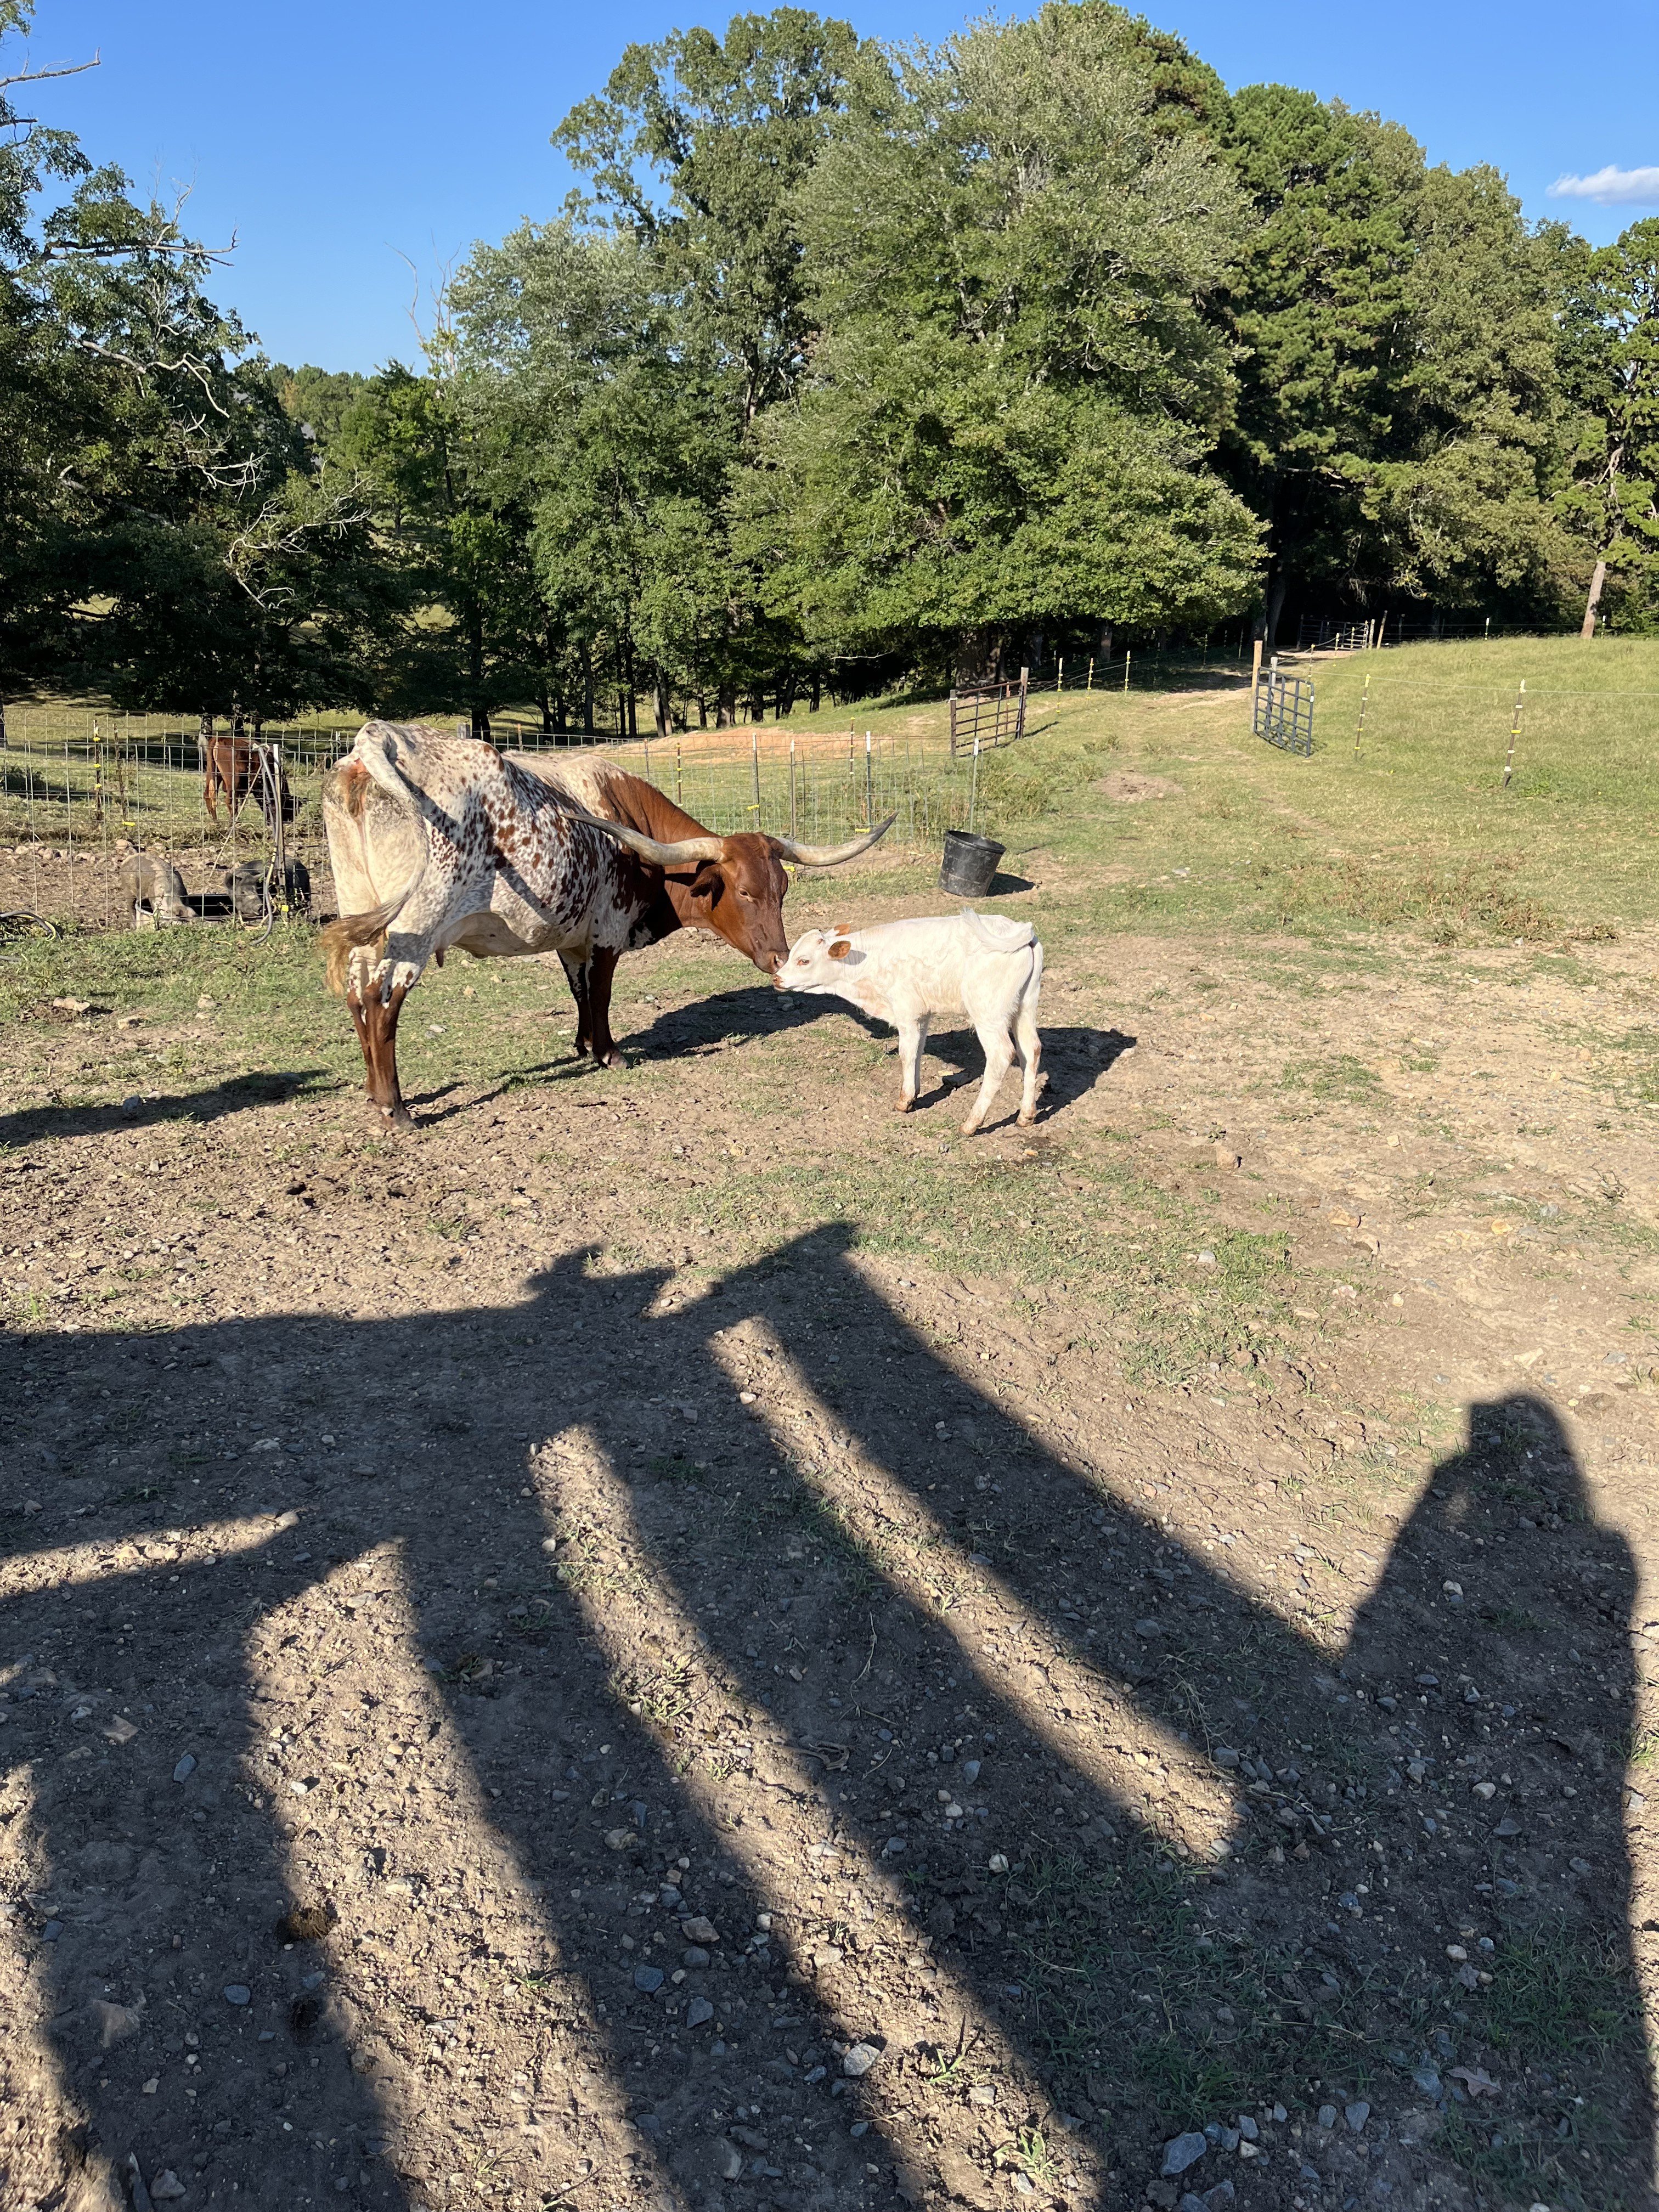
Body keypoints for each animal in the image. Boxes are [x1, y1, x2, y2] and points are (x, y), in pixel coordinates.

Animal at [509, 750, 892, 1062]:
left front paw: (585, 1044)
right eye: (744, 893)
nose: (779, 959)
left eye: (783, 890)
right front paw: (608, 1054)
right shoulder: (605, 931)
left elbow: (580, 991)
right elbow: (599, 990)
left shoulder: (573, 936)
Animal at [774, 910, 1045, 1134]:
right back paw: (1026, 1116)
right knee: (1031, 1050)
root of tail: (1019, 930)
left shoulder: (906, 1010)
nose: (776, 978)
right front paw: (913, 1094)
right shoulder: (921, 1014)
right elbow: (917, 1051)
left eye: (804, 961)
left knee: (1001, 1056)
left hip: (988, 1013)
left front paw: (904, 1101)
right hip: (1025, 1006)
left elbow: (906, 1052)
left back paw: (971, 1124)